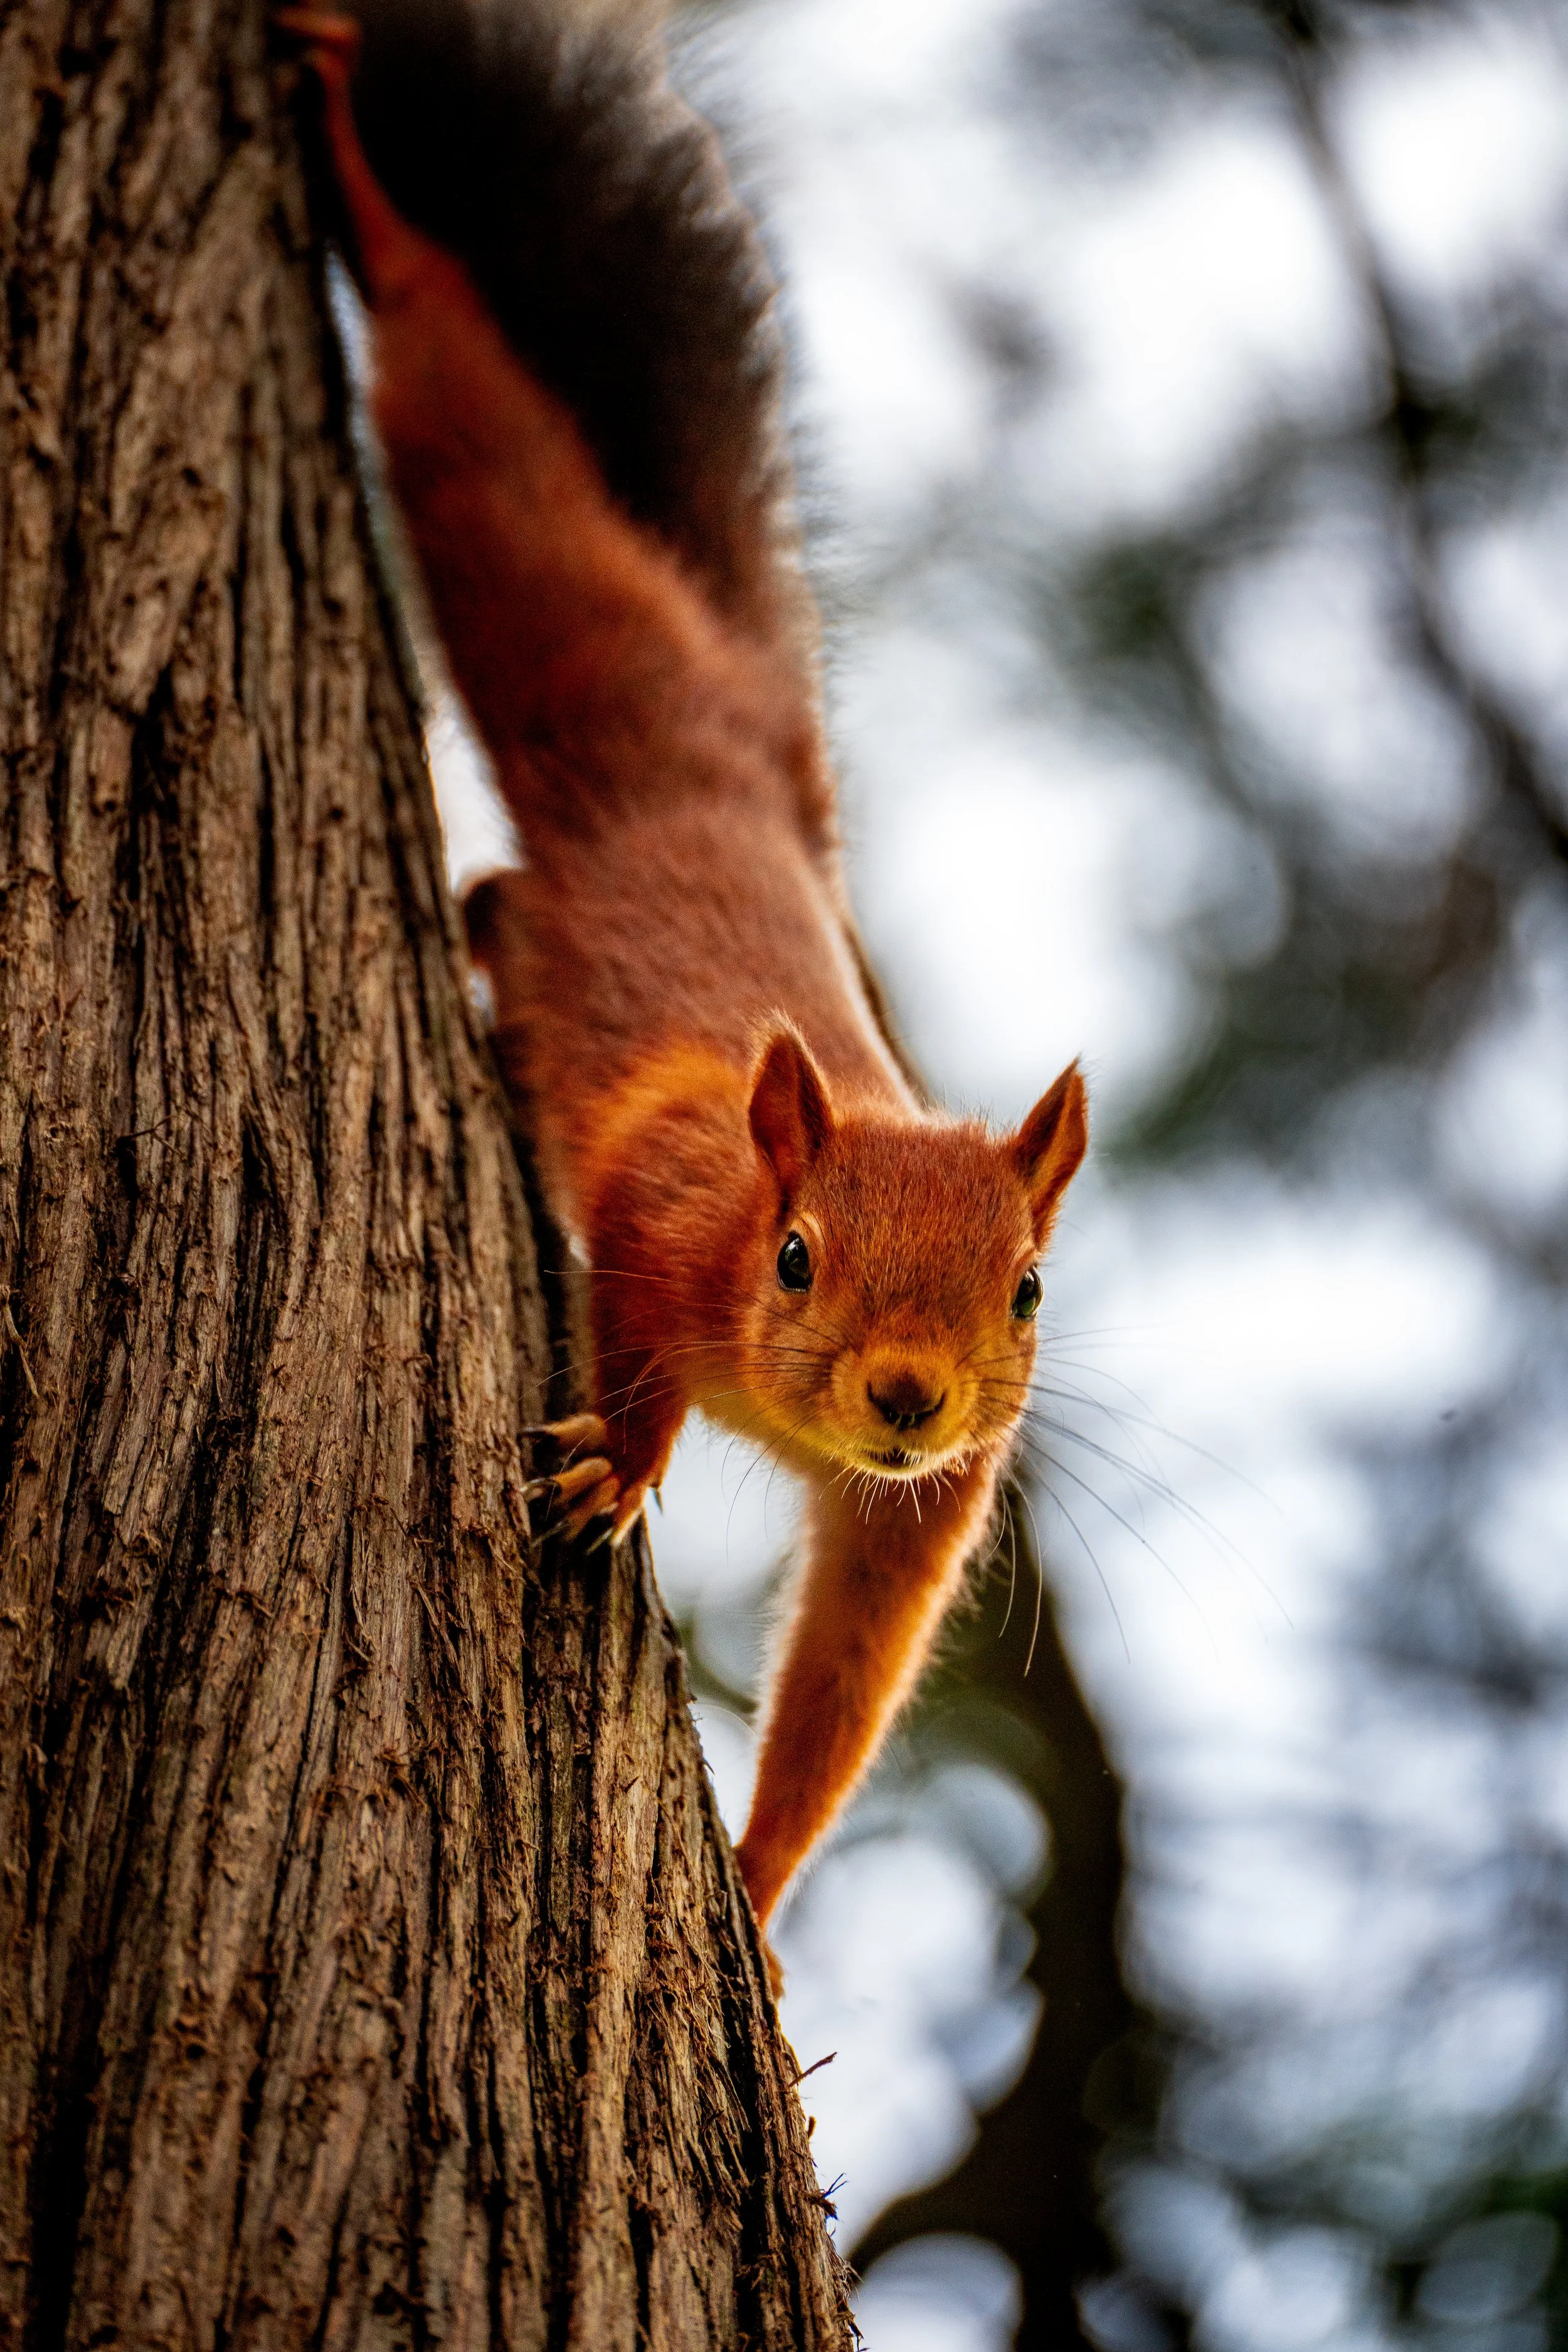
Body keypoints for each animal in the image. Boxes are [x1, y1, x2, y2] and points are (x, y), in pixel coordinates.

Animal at [276, 0, 1088, 1961]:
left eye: (1027, 1291)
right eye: (795, 1253)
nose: (906, 1396)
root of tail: (748, 749)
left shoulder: (922, 1511)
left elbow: (847, 1678)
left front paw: (765, 1901)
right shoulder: (666, 1198)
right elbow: (628, 1317)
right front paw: (622, 1469)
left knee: (500, 890)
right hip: (547, 593)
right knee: (463, 388)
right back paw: (361, 174)